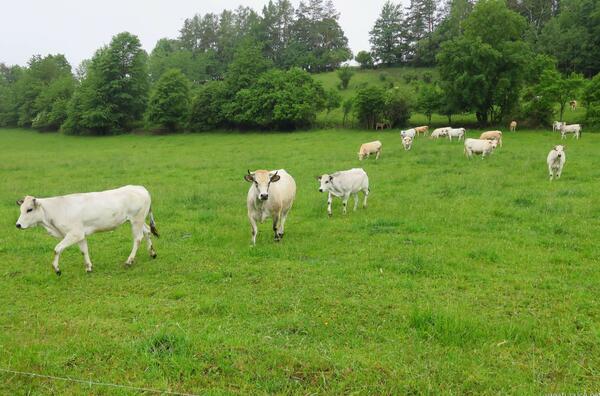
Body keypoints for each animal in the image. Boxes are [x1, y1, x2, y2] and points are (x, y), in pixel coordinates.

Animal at [16, 186, 161, 276]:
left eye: (29, 209)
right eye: (21, 209)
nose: (18, 225)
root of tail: (141, 188)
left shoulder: (74, 234)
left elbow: (57, 249)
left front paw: (57, 269)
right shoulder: (81, 235)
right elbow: (84, 250)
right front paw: (88, 267)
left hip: (136, 220)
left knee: (138, 238)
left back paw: (129, 261)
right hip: (138, 220)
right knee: (147, 231)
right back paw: (152, 253)